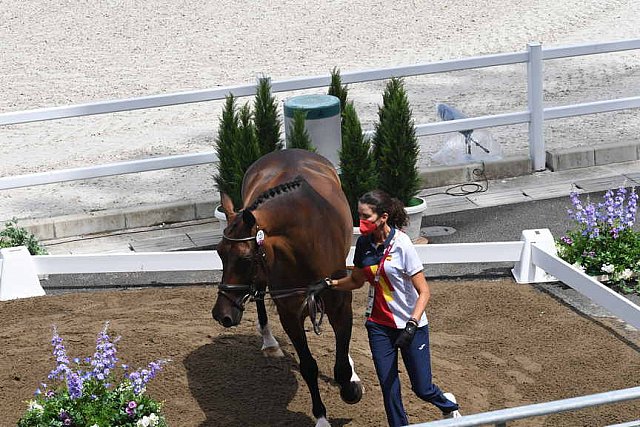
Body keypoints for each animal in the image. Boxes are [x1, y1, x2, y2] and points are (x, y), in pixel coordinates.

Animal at [212, 149, 362, 426]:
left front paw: (351, 388)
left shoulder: (340, 305)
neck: (308, 241)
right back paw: (269, 342)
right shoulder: (290, 314)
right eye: (218, 253)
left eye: (245, 258)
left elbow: (341, 365)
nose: (221, 314)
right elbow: (308, 366)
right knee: (260, 298)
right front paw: (321, 417)